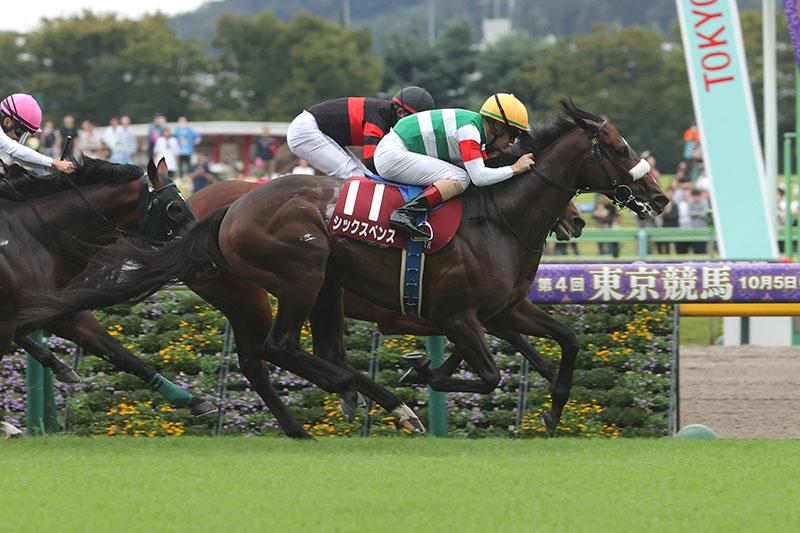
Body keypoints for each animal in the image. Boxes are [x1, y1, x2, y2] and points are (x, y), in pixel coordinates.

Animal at [28, 97, 668, 434]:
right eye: (618, 149)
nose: (660, 198)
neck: (500, 218)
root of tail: (227, 208)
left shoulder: (505, 308)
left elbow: (564, 344)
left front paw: (553, 413)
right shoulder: (458, 313)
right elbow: (485, 372)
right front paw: (421, 375)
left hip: (316, 289)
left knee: (294, 355)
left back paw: (335, 408)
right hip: (293, 276)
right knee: (276, 351)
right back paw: (369, 402)